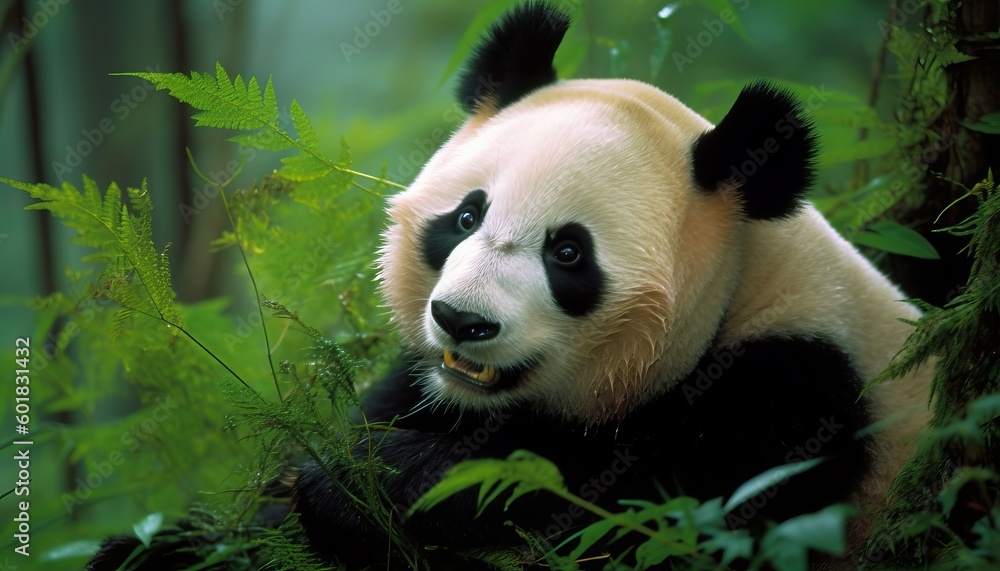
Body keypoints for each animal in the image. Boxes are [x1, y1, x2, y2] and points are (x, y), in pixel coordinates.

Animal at [292, 1, 932, 568]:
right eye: (467, 217)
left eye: (568, 253)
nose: (460, 320)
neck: (745, 282)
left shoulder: (796, 398)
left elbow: (635, 517)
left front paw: (372, 480)